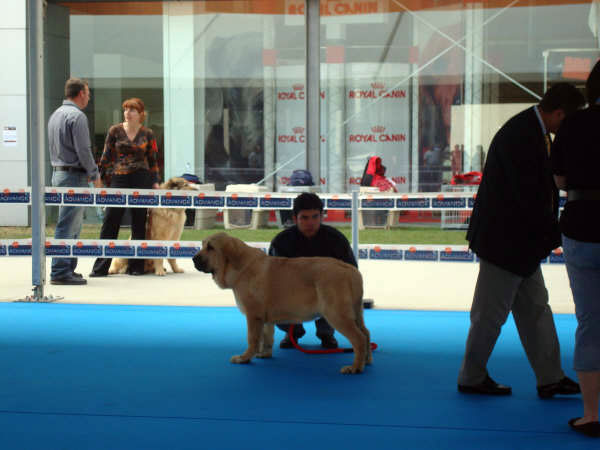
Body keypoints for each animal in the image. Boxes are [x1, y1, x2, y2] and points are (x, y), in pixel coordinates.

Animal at [192, 232, 370, 372]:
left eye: (210, 247)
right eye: (202, 245)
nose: (194, 258)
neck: (240, 266)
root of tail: (351, 270)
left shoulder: (253, 315)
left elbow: (252, 339)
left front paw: (244, 358)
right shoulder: (264, 318)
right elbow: (267, 337)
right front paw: (264, 354)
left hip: (336, 315)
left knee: (359, 339)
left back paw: (355, 367)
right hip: (355, 313)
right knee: (366, 333)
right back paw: (367, 361)